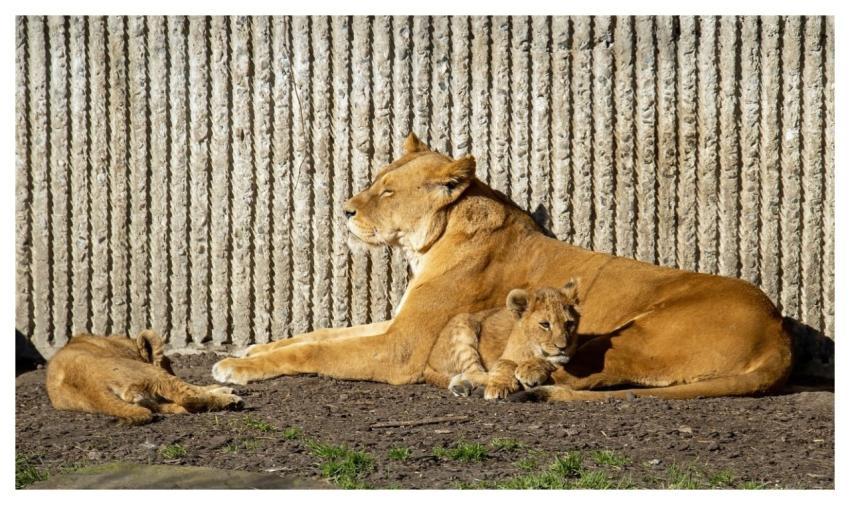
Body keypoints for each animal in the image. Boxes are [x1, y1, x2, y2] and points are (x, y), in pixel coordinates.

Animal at [47, 330, 243, 424]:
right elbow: (194, 388)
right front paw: (224, 390)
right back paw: (231, 401)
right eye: (168, 363)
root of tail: (91, 386)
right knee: (186, 398)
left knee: (178, 407)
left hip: (143, 397)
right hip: (150, 373)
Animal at [424, 281, 581, 400]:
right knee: (473, 372)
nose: (563, 347)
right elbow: (504, 364)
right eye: (545, 324)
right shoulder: (504, 357)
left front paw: (530, 370)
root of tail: (428, 361)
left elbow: (551, 361)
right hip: (463, 323)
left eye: (569, 324)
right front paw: (500, 386)